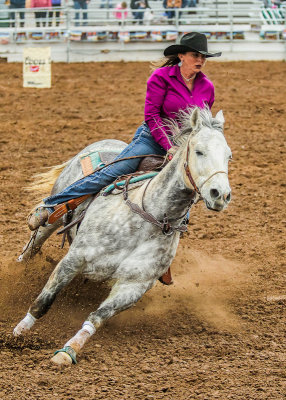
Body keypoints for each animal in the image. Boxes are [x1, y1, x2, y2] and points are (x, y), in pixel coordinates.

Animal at [13, 107, 232, 366]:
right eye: (199, 151)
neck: (147, 217)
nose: (220, 195)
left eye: (228, 156)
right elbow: (43, 302)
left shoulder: (134, 285)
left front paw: (68, 351)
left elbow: (97, 317)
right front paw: (18, 333)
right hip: (53, 217)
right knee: (33, 244)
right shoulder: (73, 260)